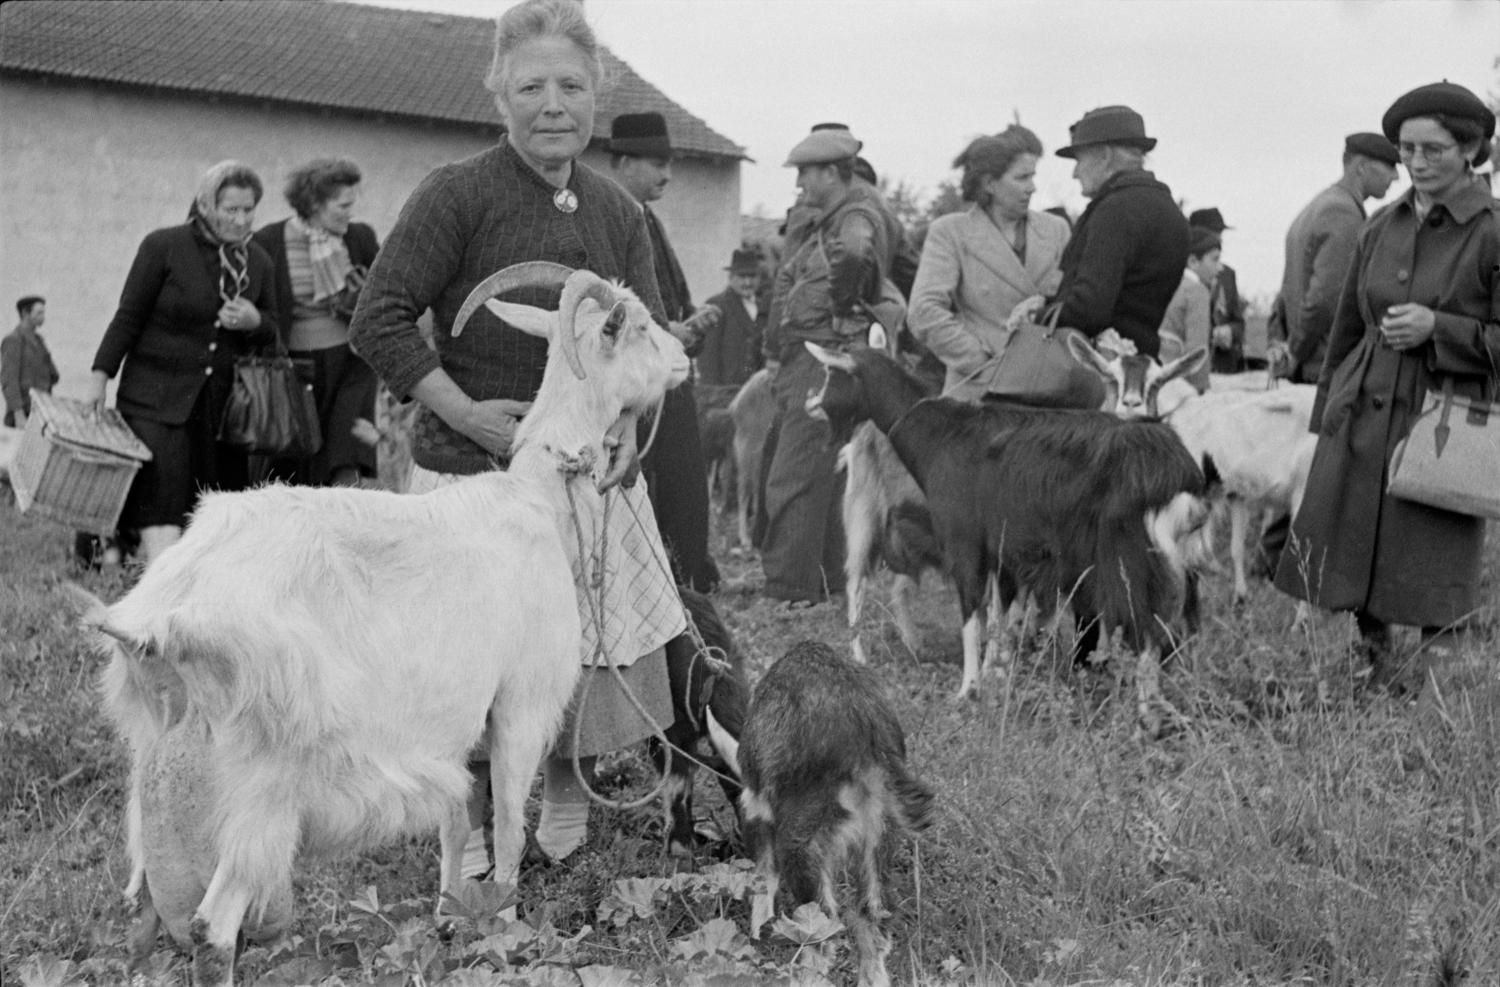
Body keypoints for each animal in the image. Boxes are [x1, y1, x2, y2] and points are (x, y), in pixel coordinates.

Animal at [79, 264, 687, 984]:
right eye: (641, 327)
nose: (685, 358)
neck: (538, 501)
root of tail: (160, 617)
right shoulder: (520, 705)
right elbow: (509, 826)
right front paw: (507, 932)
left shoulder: (459, 728)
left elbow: (460, 822)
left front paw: (451, 919)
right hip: (262, 790)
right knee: (210, 926)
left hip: (155, 788)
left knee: (143, 920)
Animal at [732, 639, 930, 984]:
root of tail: (867, 726)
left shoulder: (756, 807)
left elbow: (763, 876)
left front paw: (758, 936)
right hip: (880, 832)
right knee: (873, 916)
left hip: (803, 840)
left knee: (821, 932)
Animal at [810, 340, 1206, 729]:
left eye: (832, 372)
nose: (810, 401)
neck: (941, 435)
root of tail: (1176, 470)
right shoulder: (1003, 555)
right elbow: (1000, 620)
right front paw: (997, 679)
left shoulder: (966, 545)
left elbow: (973, 617)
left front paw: (968, 690)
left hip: (1127, 558)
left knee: (1147, 631)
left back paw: (1150, 718)